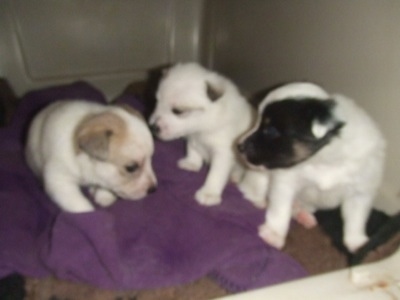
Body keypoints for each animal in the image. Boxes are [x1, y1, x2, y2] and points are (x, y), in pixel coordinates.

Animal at [148, 62, 268, 207]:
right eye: (156, 101)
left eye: (177, 111)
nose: (152, 127)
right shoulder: (193, 138)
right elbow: (193, 150)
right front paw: (191, 164)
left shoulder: (223, 153)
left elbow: (215, 175)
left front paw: (209, 193)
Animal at [239, 82, 386, 253]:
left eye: (270, 131)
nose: (239, 146)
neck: (324, 159)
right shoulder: (285, 182)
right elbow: (280, 209)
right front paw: (274, 234)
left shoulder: (360, 191)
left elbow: (356, 219)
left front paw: (359, 244)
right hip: (259, 177)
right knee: (251, 190)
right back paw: (260, 201)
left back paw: (303, 215)